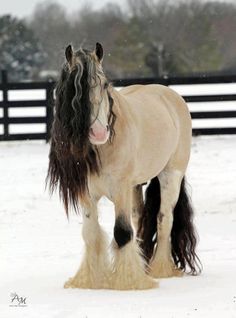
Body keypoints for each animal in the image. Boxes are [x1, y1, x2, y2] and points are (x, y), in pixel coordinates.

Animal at [46, 42, 201, 290]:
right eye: (73, 89)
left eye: (104, 84)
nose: (99, 133)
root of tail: (171, 96)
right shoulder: (87, 193)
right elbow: (91, 233)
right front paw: (90, 280)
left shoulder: (120, 189)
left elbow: (122, 233)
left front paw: (127, 281)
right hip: (135, 187)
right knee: (140, 219)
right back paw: (144, 264)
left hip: (171, 175)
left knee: (164, 220)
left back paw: (160, 269)